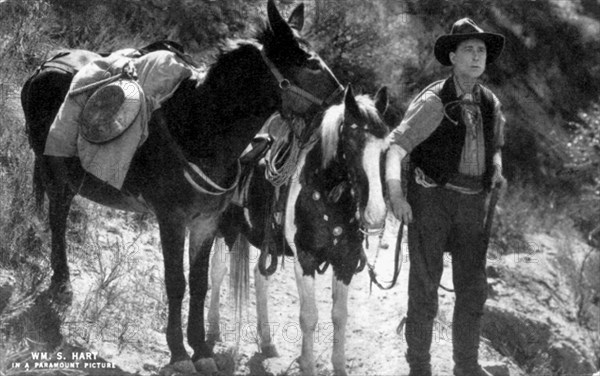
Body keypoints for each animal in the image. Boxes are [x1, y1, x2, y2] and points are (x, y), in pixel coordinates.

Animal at [19, 1, 342, 374]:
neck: (202, 127)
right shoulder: (171, 219)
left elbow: (200, 284)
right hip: (55, 172)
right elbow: (176, 282)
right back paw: (61, 284)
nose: (344, 105)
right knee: (58, 220)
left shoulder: (205, 222)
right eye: (312, 64)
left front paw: (200, 348)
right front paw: (178, 352)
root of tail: (46, 63)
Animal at [210, 86, 390, 376]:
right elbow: (309, 316)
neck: (328, 194)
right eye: (352, 143)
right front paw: (307, 364)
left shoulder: (346, 261)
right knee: (217, 272)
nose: (375, 214)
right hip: (226, 229)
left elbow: (340, 316)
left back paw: (267, 341)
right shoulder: (306, 259)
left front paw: (339, 366)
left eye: (385, 148)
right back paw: (213, 330)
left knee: (260, 275)